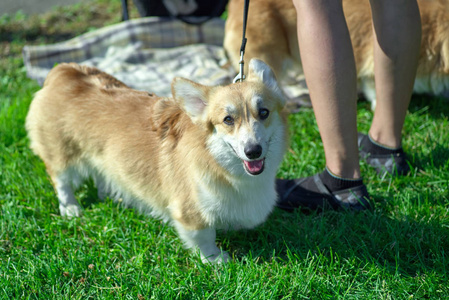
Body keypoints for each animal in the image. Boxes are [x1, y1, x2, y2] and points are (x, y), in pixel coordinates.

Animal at [26, 59, 288, 262]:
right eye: (228, 120)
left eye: (264, 112)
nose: (253, 151)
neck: (221, 165)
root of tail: (63, 71)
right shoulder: (189, 211)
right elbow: (204, 237)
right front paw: (215, 260)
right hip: (60, 153)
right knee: (61, 180)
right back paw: (71, 208)